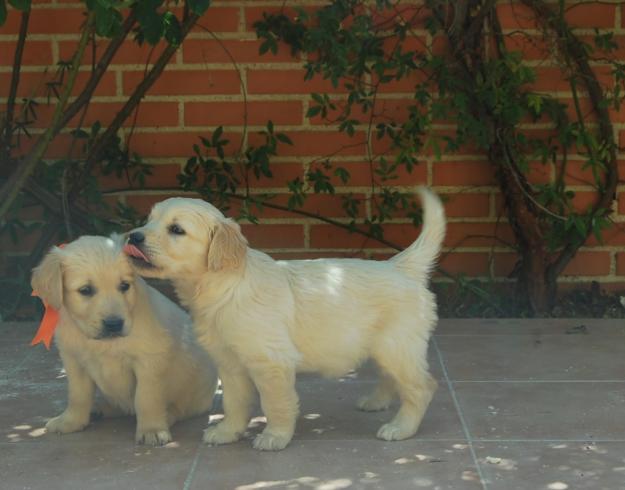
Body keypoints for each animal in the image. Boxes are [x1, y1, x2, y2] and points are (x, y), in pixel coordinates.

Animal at [31, 235, 218, 446]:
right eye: (85, 290)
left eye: (124, 286)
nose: (114, 324)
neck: (103, 343)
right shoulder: (73, 360)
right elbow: (78, 395)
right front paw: (71, 421)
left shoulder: (149, 360)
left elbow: (146, 398)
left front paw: (152, 429)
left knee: (179, 409)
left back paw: (166, 416)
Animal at [123, 188, 444, 452]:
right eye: (148, 220)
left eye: (176, 229)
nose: (133, 236)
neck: (223, 286)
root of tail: (400, 266)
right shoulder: (229, 362)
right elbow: (233, 402)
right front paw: (228, 432)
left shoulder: (271, 361)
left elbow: (275, 403)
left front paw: (274, 436)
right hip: (386, 346)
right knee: (393, 378)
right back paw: (376, 402)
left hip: (397, 345)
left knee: (422, 387)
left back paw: (401, 427)